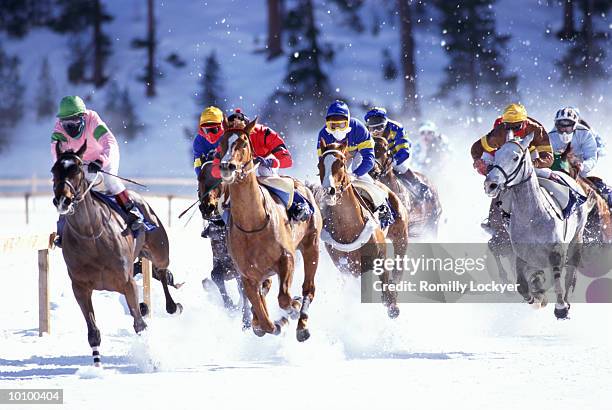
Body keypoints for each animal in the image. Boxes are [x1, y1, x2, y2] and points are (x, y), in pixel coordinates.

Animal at [52, 141, 182, 366]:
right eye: (54, 170)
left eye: (77, 169)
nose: (62, 200)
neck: (92, 236)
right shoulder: (80, 287)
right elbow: (93, 332)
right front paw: (97, 365)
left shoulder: (126, 282)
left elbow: (139, 325)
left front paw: (152, 360)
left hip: (159, 250)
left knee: (162, 271)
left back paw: (172, 305)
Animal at [198, 155, 251, 328]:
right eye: (200, 178)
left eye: (220, 180)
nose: (207, 207)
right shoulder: (221, 262)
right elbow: (215, 276)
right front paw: (230, 306)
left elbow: (244, 287)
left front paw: (247, 319)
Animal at [216, 120, 322, 342]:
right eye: (221, 143)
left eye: (243, 142)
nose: (227, 166)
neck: (252, 225)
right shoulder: (248, 276)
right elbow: (264, 322)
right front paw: (274, 323)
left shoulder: (286, 258)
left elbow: (284, 299)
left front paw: (292, 308)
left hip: (312, 245)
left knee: (308, 289)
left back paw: (302, 324)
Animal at [318, 140, 408, 318]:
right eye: (319, 165)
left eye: (341, 163)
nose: (329, 190)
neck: (348, 228)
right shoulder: (347, 267)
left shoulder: (379, 256)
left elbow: (386, 288)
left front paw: (392, 305)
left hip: (401, 234)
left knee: (399, 262)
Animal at [482, 133, 592, 318]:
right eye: (496, 155)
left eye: (515, 157)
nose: (490, 184)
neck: (531, 218)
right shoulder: (520, 253)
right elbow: (522, 283)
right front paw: (537, 298)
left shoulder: (556, 250)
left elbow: (555, 277)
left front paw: (560, 307)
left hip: (577, 236)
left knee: (571, 270)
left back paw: (566, 300)